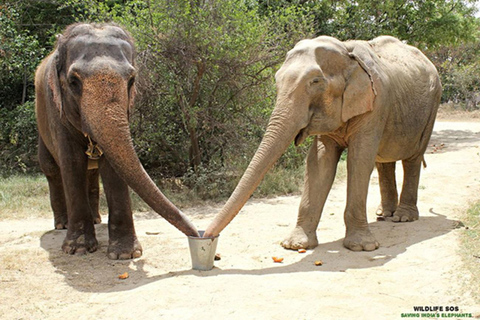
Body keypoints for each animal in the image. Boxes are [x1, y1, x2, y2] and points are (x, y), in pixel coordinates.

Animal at [34, 24, 198, 260]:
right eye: (73, 81)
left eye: (131, 80)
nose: (199, 234)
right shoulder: (56, 112)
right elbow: (72, 163)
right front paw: (78, 249)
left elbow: (113, 165)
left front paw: (125, 255)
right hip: (41, 126)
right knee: (52, 170)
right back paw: (62, 225)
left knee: (91, 172)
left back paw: (96, 219)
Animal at [203, 35, 442, 252]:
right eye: (277, 79)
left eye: (315, 82)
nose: (205, 237)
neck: (346, 51)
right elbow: (319, 161)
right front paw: (295, 245)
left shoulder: (376, 104)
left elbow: (359, 159)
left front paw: (361, 247)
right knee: (384, 161)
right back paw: (384, 214)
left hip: (431, 107)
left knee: (411, 159)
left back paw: (403, 218)